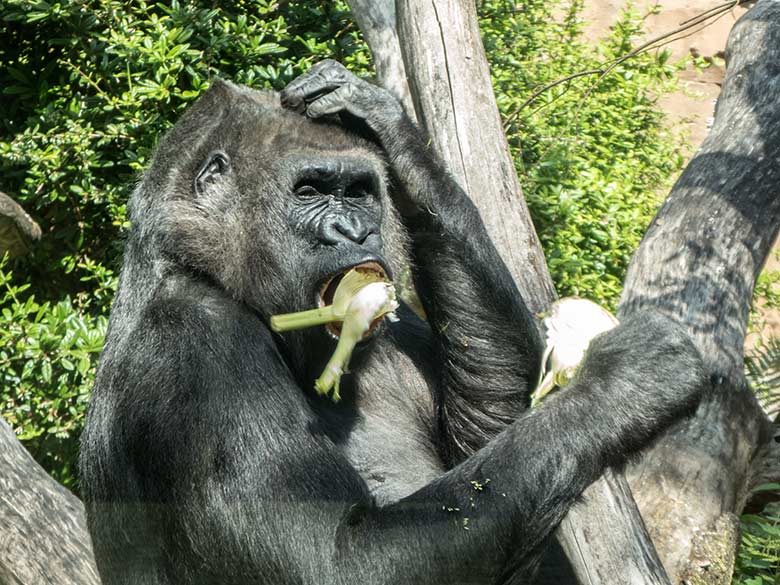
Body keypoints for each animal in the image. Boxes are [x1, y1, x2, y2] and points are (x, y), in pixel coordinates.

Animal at [80, 60, 708, 584]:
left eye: (359, 192)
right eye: (310, 191)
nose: (356, 232)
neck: (197, 264)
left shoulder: (396, 322)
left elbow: (497, 428)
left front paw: (385, 124)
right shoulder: (197, 343)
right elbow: (333, 560)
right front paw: (625, 381)